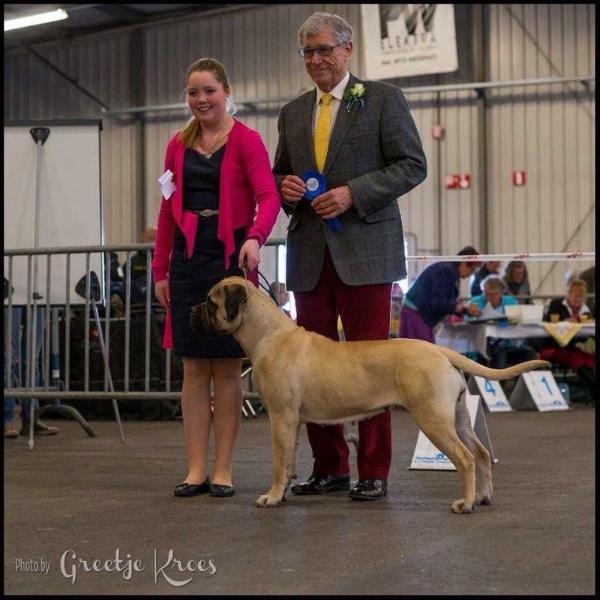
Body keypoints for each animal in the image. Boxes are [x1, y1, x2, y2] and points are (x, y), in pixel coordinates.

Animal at [190, 278, 552, 516]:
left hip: (434, 420)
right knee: (480, 454)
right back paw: (483, 497)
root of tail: (441, 351)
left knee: (464, 458)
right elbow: (289, 460)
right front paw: (286, 493)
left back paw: (465, 504)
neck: (268, 333)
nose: (191, 310)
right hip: (460, 418)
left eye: (210, 302)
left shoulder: (280, 418)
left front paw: (272, 496)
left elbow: (279, 462)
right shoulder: (291, 423)